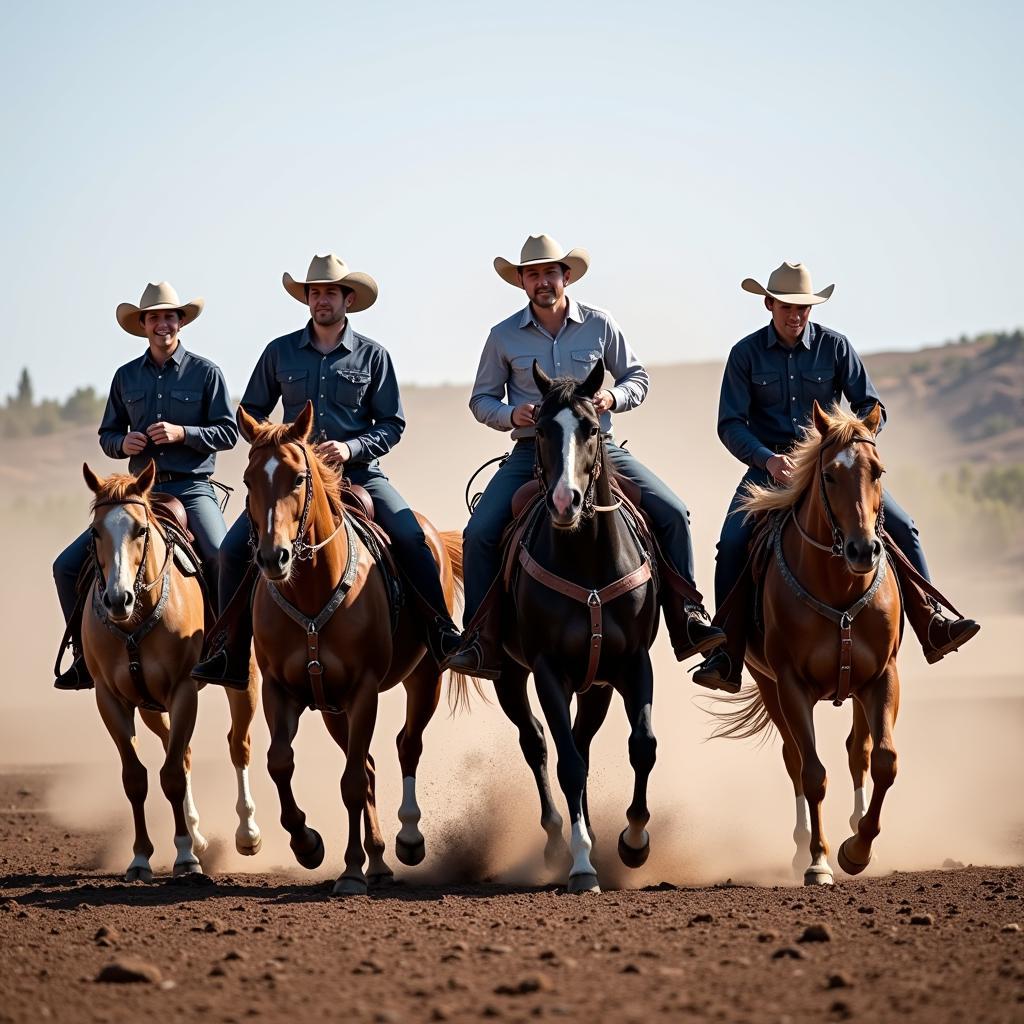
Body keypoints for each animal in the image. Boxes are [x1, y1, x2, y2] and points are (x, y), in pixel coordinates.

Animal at [81, 460, 264, 884]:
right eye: (96, 532)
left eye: (140, 530)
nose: (117, 599)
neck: (136, 620)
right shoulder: (109, 699)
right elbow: (137, 778)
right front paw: (140, 858)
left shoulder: (183, 692)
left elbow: (172, 776)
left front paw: (184, 857)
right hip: (151, 708)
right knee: (182, 752)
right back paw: (198, 836)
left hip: (242, 682)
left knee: (238, 745)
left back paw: (246, 834)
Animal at [235, 399, 468, 897]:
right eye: (248, 480)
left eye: (297, 478)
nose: (273, 557)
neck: (312, 593)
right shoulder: (281, 690)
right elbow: (280, 762)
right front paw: (307, 844)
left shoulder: (363, 692)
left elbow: (351, 782)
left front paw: (349, 871)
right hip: (331, 709)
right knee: (373, 765)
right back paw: (377, 861)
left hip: (425, 679)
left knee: (405, 747)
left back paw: (407, 840)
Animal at [495, 364, 663, 892]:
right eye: (542, 429)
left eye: (591, 427)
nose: (565, 502)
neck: (587, 559)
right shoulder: (548, 671)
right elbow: (566, 763)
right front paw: (583, 862)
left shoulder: (633, 663)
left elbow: (642, 746)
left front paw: (634, 843)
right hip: (509, 675)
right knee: (537, 742)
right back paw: (556, 841)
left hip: (596, 687)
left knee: (582, 744)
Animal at [708, 403, 901, 884]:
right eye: (829, 475)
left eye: (878, 471)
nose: (863, 551)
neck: (838, 586)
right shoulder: (791, 684)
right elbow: (812, 772)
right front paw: (819, 860)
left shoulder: (883, 676)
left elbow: (884, 760)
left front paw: (858, 849)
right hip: (767, 684)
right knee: (793, 758)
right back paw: (801, 849)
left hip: (857, 690)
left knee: (858, 752)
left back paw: (856, 827)